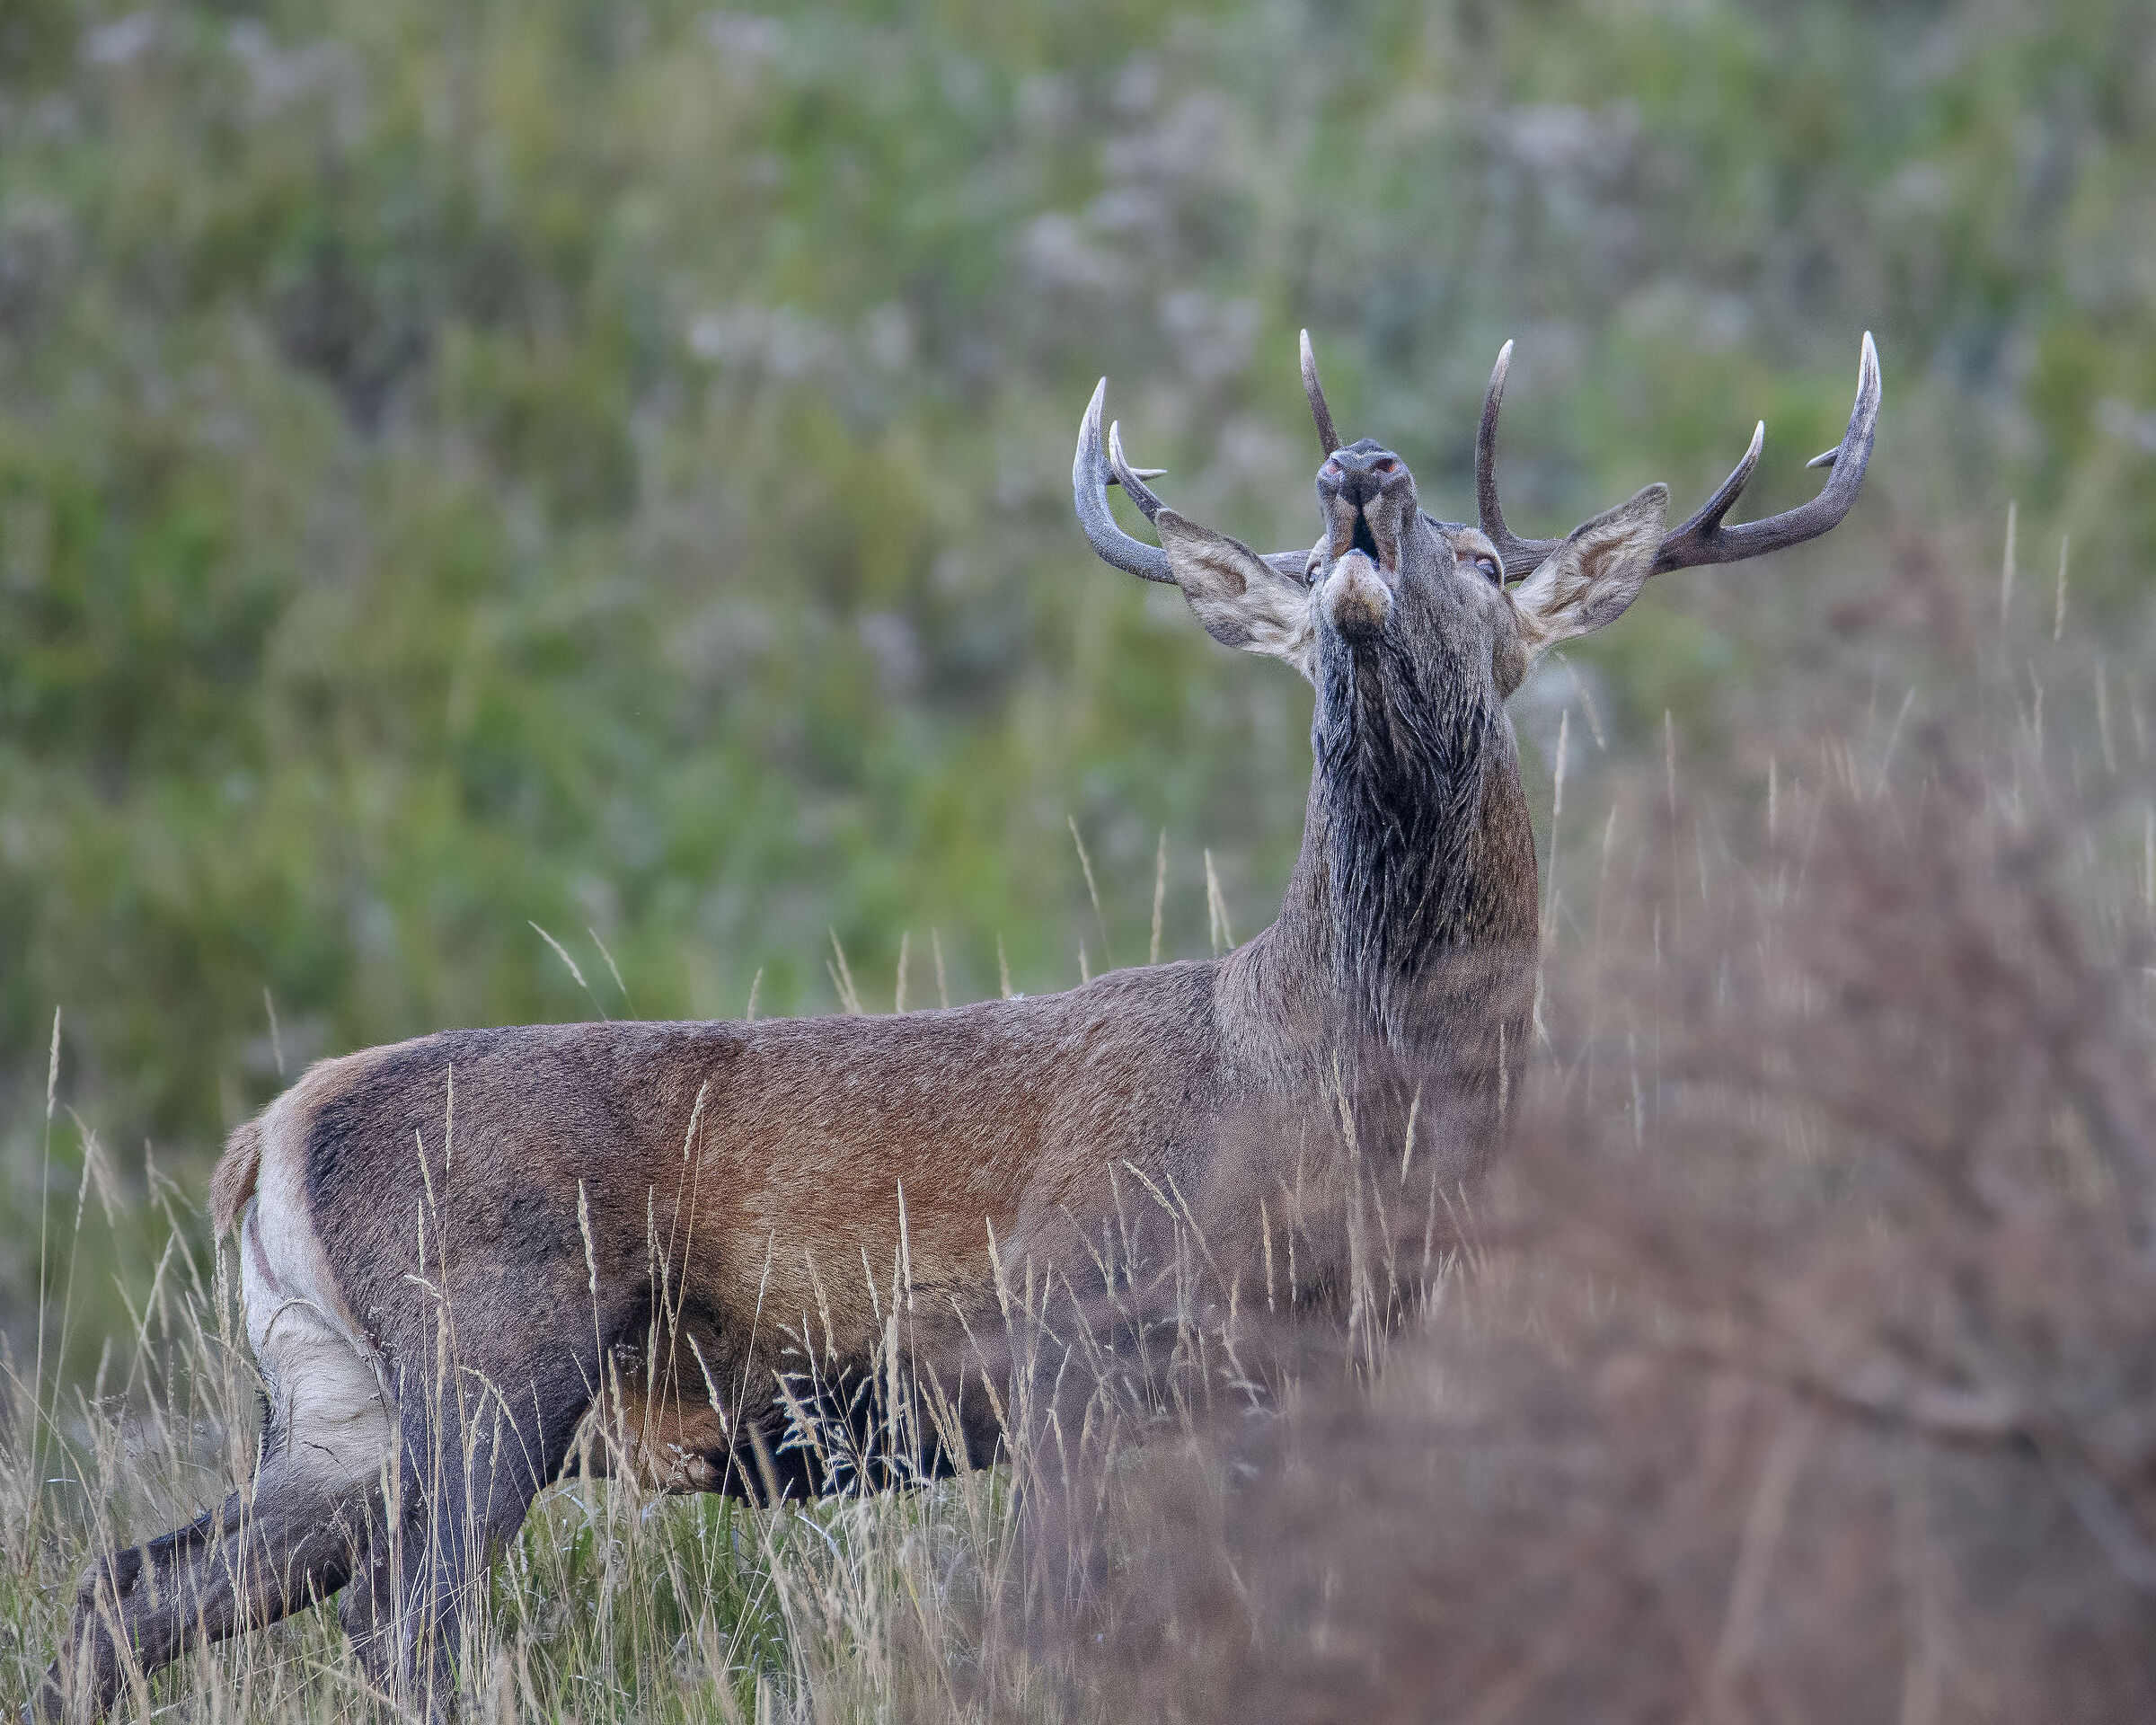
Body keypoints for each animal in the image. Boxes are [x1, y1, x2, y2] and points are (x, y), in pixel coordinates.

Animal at [38, 330, 1879, 1720]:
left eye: (1488, 563)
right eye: (1297, 577)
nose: (1362, 474)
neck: (1330, 1099)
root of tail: (265, 1137)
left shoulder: (1318, 1374)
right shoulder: (1071, 1338)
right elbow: (1053, 1632)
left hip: (332, 1403)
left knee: (125, 1590)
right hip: (487, 1351)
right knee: (400, 1625)